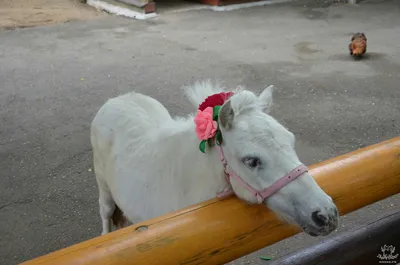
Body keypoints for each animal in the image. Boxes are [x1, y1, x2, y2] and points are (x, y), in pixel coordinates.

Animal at [90, 79, 338, 236]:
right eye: (251, 161)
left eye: (291, 142)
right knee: (106, 216)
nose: (326, 215)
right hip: (104, 191)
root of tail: (118, 99)